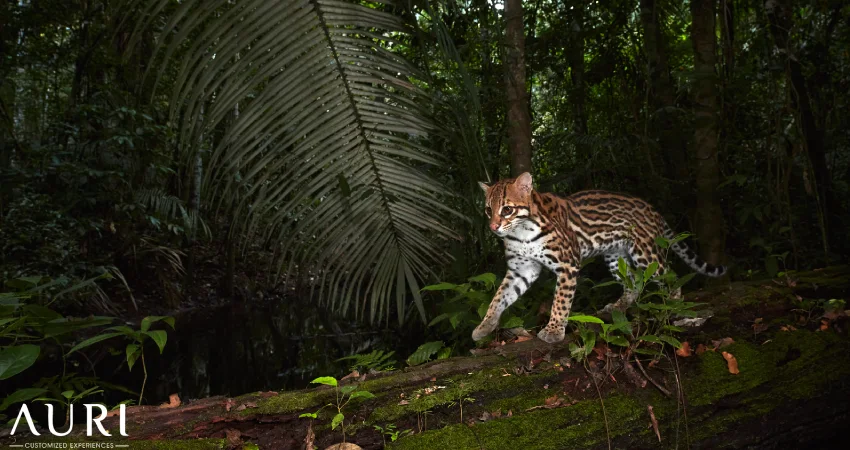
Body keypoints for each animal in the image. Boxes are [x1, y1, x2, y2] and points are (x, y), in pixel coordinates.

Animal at [470, 172, 724, 344]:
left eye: (507, 210)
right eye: (488, 210)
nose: (493, 227)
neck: (521, 233)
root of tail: (652, 208)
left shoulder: (568, 264)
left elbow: (560, 301)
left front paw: (554, 330)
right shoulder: (521, 270)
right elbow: (499, 297)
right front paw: (485, 325)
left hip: (645, 253)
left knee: (670, 274)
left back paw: (672, 303)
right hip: (615, 256)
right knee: (634, 282)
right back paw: (619, 306)